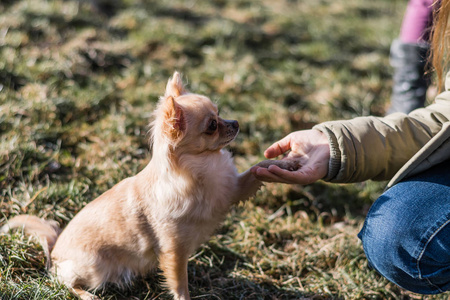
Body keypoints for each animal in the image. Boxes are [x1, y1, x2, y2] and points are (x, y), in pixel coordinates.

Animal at [1, 72, 294, 300]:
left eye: (220, 114)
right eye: (212, 125)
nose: (236, 123)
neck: (203, 166)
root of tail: (54, 247)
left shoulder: (232, 191)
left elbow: (256, 172)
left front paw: (283, 164)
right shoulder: (173, 251)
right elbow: (180, 284)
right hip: (94, 267)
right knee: (65, 282)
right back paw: (85, 294)